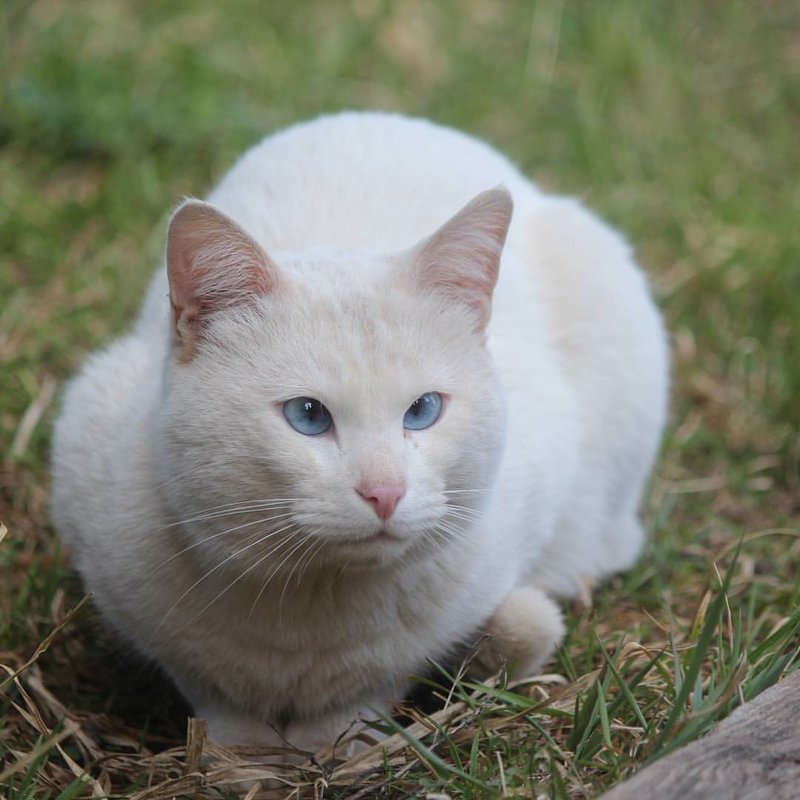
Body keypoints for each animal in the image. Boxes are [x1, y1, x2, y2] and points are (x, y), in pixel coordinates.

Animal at [50, 111, 668, 752]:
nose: (385, 493)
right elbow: (214, 698)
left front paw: (336, 745)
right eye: (307, 415)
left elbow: (370, 689)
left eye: (423, 410)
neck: (311, 602)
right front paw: (238, 753)